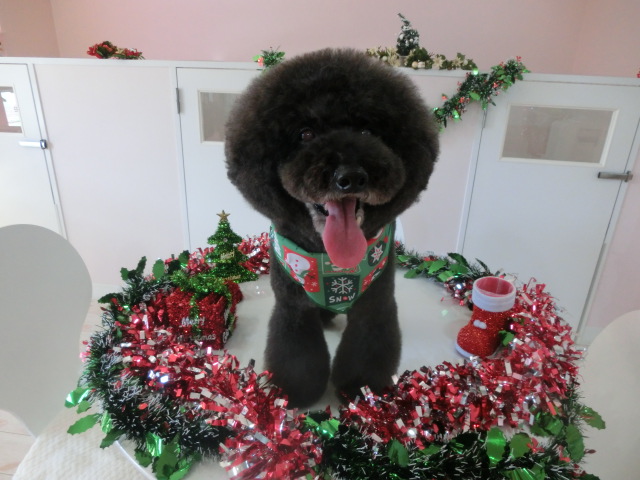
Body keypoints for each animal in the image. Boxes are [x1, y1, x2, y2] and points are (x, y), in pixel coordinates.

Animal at [225, 48, 439, 407]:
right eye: (305, 133)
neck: (333, 266)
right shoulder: (293, 308)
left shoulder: (376, 305)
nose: (351, 176)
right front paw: (297, 391)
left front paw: (361, 390)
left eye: (368, 132)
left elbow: (366, 350)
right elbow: (297, 355)